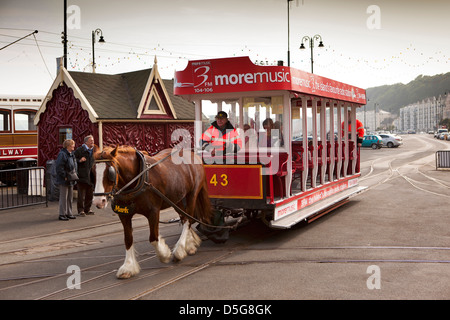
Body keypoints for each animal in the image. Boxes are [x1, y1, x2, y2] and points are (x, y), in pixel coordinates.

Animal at [92, 146, 212, 278]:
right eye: (93, 172)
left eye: (110, 173)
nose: (98, 201)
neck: (138, 179)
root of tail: (192, 154)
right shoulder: (124, 215)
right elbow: (128, 239)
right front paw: (128, 267)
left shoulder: (153, 212)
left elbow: (153, 238)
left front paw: (165, 254)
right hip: (176, 199)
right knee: (184, 217)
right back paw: (189, 245)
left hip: (192, 194)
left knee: (188, 220)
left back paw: (180, 250)